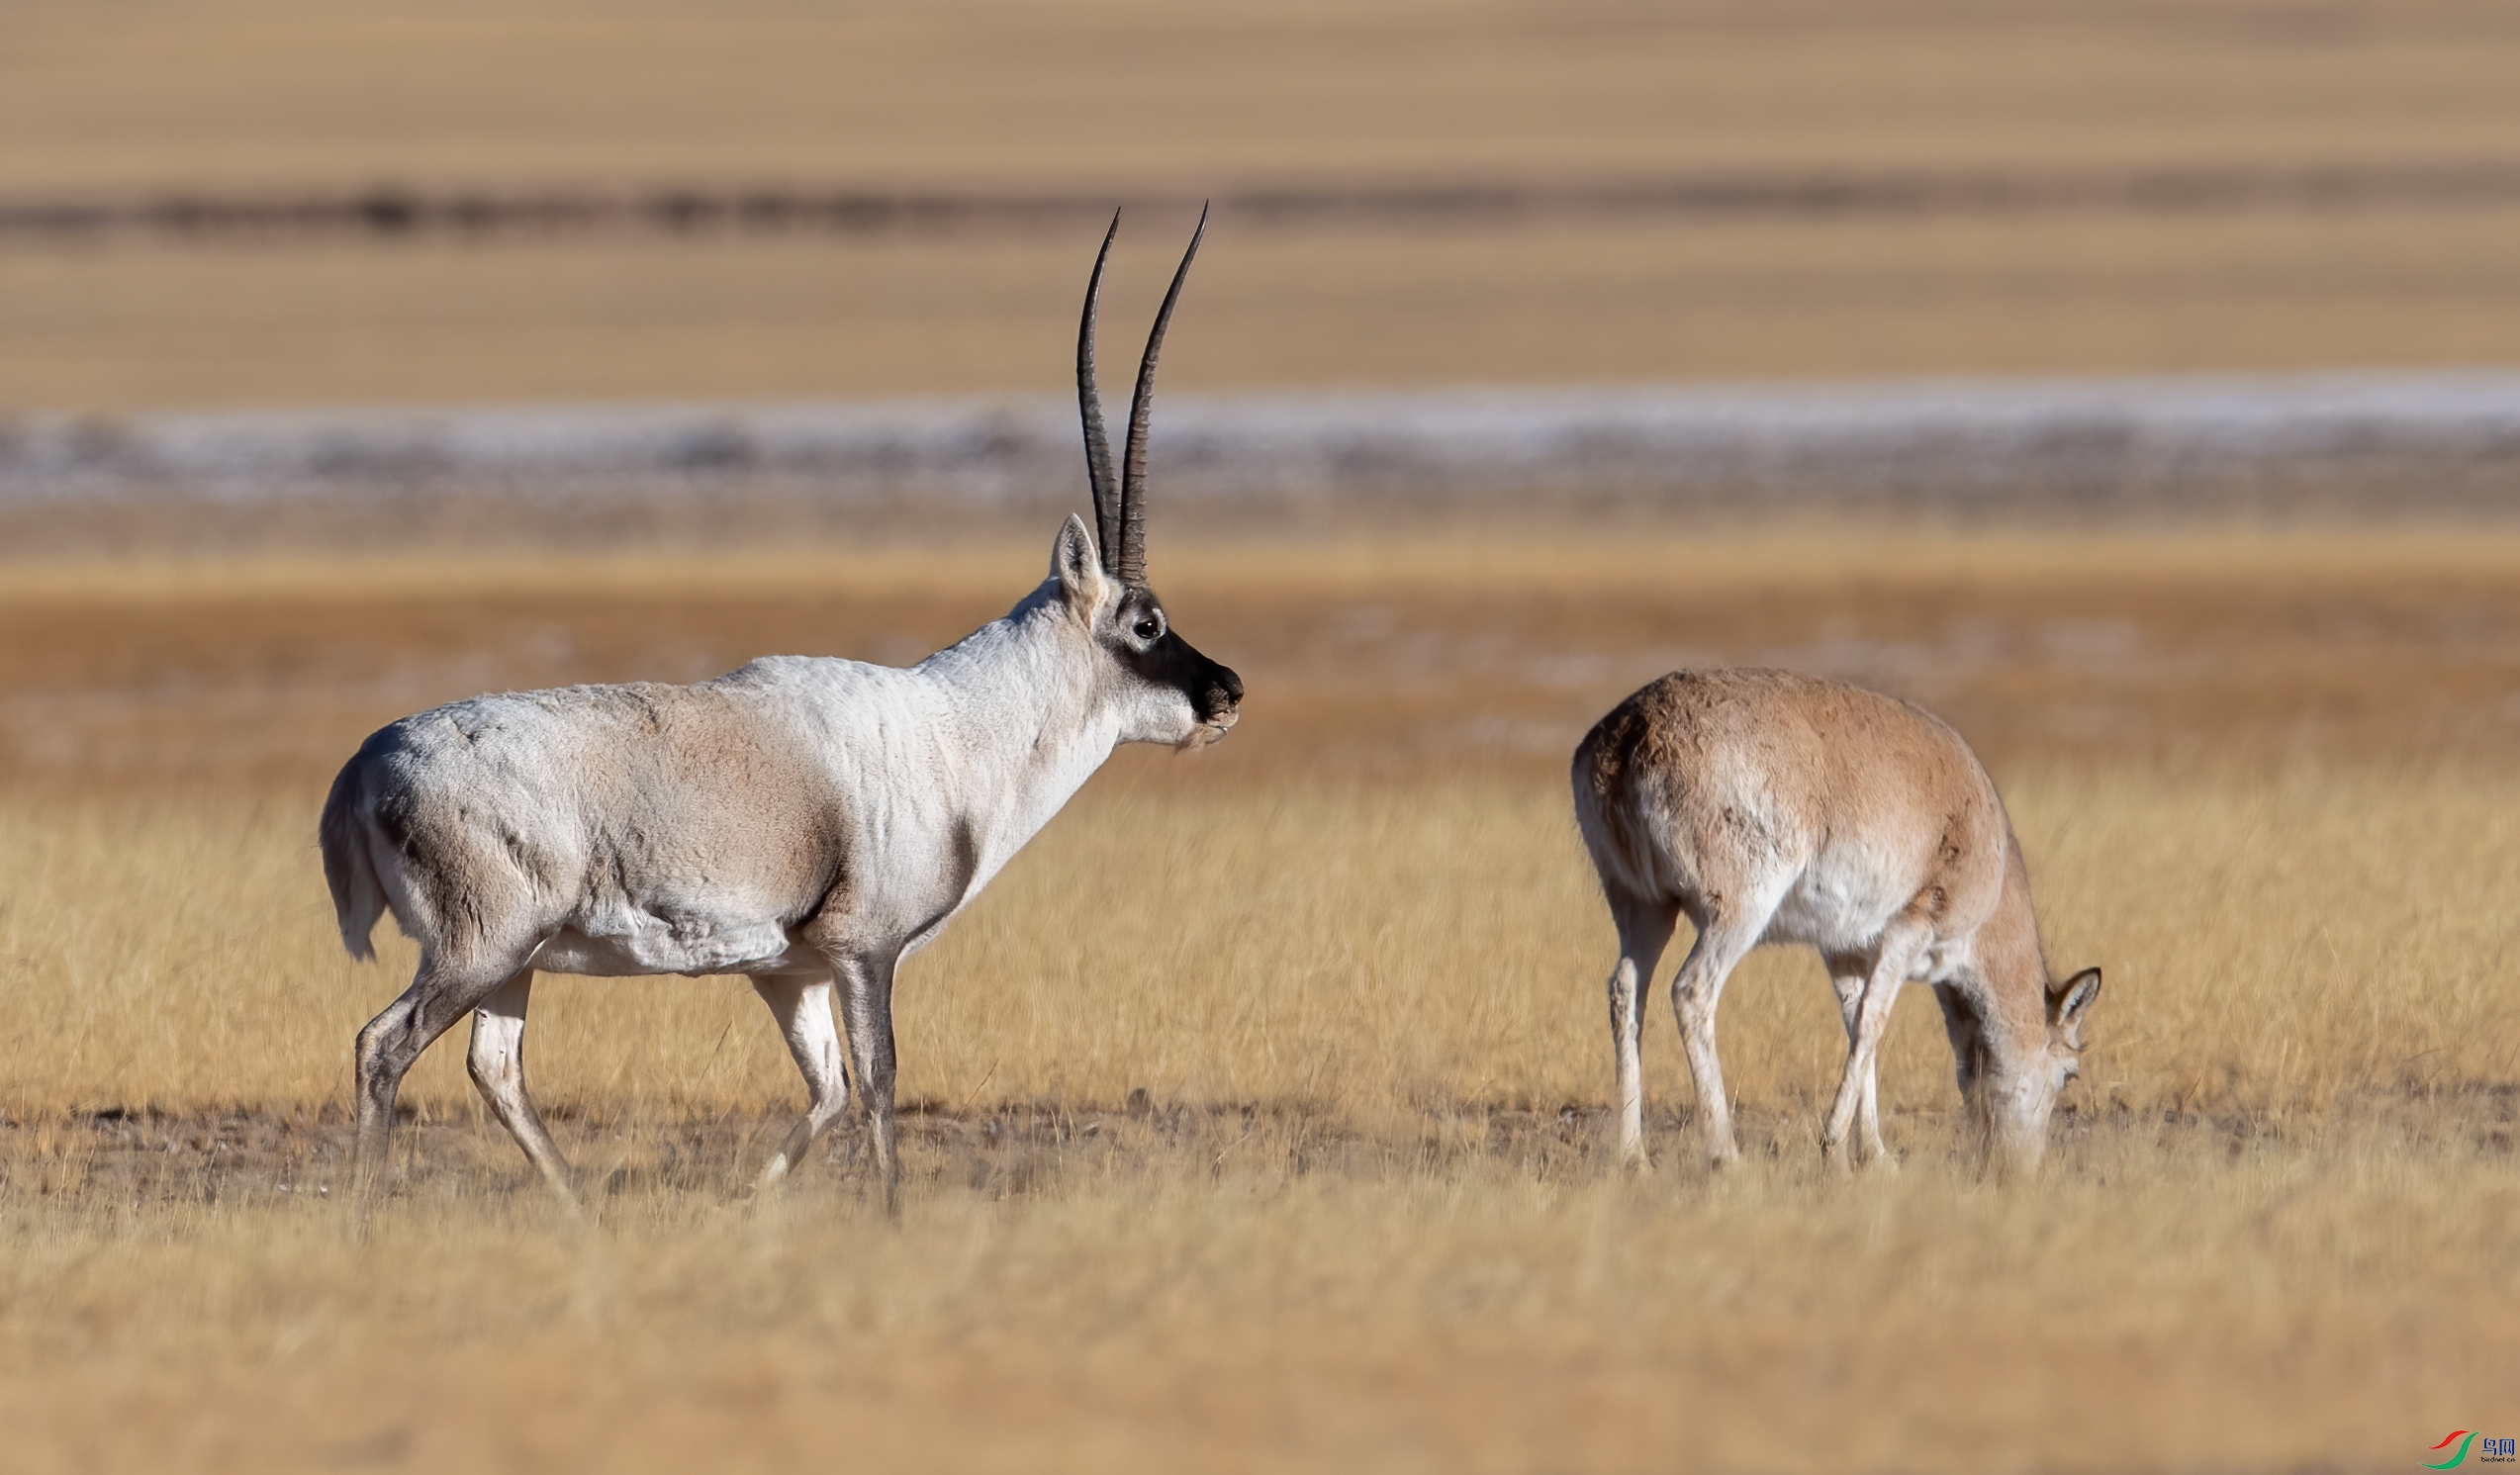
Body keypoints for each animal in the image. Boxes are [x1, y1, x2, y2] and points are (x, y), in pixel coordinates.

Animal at [1572, 665, 2106, 1174]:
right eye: (2070, 1074)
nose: (2022, 1167)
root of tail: (1630, 732)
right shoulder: (1908, 931)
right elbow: (1873, 1023)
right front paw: (1834, 1147)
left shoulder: (1844, 950)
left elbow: (1854, 1025)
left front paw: (1872, 1156)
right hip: (1736, 913)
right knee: (1691, 990)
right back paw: (1726, 1156)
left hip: (1646, 910)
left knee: (1625, 991)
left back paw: (1634, 1157)